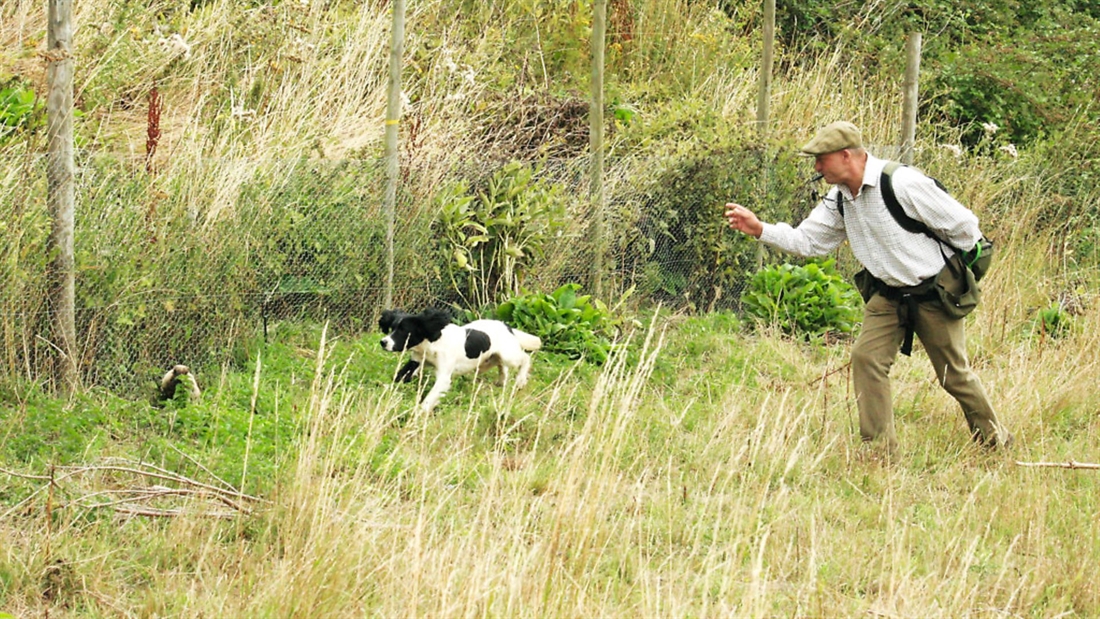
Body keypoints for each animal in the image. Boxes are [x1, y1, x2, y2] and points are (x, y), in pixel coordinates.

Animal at [380, 307, 543, 413]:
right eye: (392, 328)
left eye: (403, 331)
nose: (383, 342)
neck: (433, 341)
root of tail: (506, 326)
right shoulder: (416, 361)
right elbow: (400, 376)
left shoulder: (444, 377)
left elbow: (430, 398)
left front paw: (418, 412)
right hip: (493, 358)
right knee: (502, 366)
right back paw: (501, 381)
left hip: (509, 355)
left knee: (525, 358)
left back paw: (520, 380)